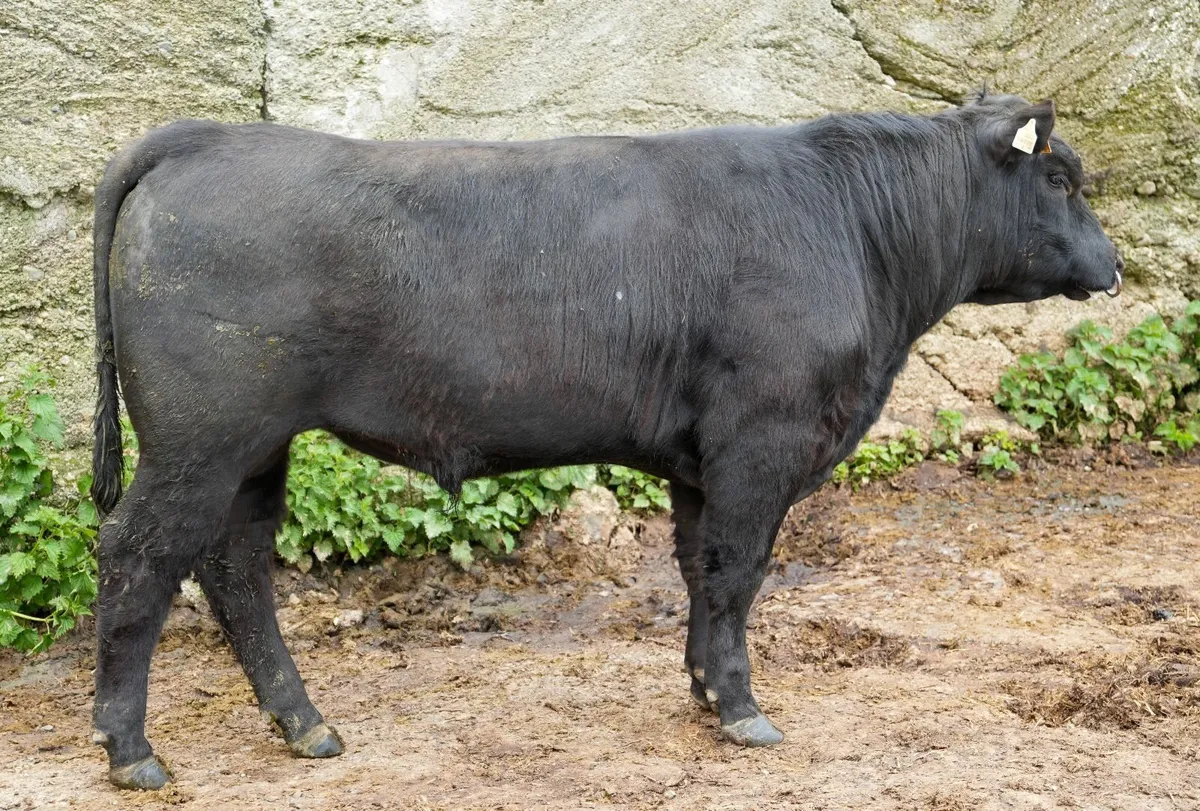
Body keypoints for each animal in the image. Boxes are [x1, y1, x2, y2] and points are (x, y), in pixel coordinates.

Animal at [89, 91, 1122, 790]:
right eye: (1061, 178)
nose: (1115, 265)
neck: (855, 229)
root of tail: (206, 136)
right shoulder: (761, 442)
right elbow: (739, 573)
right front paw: (743, 709)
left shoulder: (703, 459)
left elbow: (701, 570)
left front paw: (704, 690)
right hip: (201, 438)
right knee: (139, 557)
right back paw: (132, 748)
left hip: (251, 448)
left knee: (236, 568)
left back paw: (304, 723)